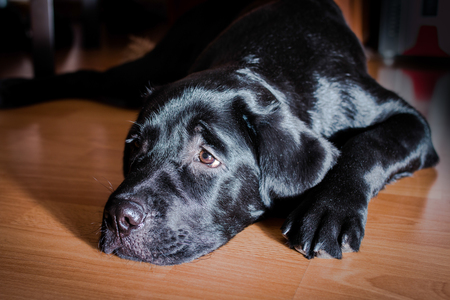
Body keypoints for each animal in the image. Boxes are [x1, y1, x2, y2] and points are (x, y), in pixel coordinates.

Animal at [0, 0, 438, 266]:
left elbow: (369, 143)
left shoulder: (411, 120)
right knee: (89, 75)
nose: (118, 217)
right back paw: (14, 88)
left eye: (207, 156)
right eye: (136, 147)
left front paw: (330, 211)